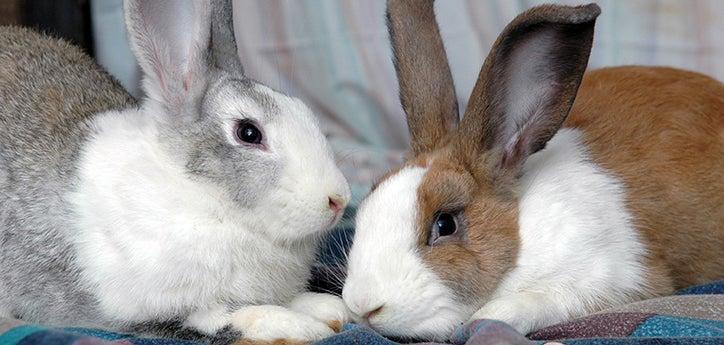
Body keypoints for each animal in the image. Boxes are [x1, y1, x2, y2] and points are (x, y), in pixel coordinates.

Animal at [0, 0, 350, 342]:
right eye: (249, 133)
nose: (338, 200)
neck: (202, 195)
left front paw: (327, 308)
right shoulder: (144, 307)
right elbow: (225, 318)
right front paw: (298, 325)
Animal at [340, 0, 724, 338]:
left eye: (445, 224)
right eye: (364, 208)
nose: (364, 306)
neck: (522, 232)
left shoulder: (621, 276)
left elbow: (533, 302)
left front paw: (487, 317)